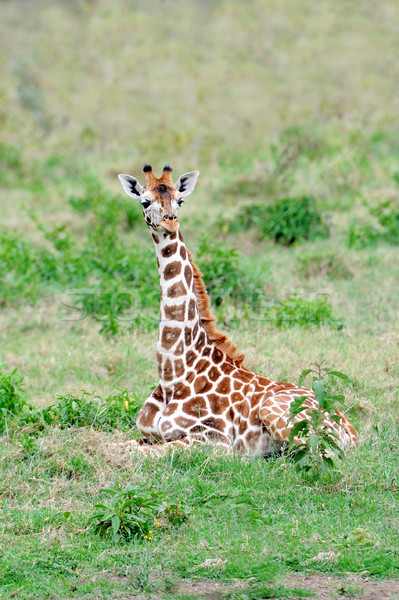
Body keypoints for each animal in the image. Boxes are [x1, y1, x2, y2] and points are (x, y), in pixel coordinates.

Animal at [117, 164, 358, 454]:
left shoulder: (214, 438)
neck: (173, 374)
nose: (170, 221)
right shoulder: (147, 434)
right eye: (145, 201)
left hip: (282, 417)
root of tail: (350, 429)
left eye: (180, 200)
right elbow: (118, 445)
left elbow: (137, 452)